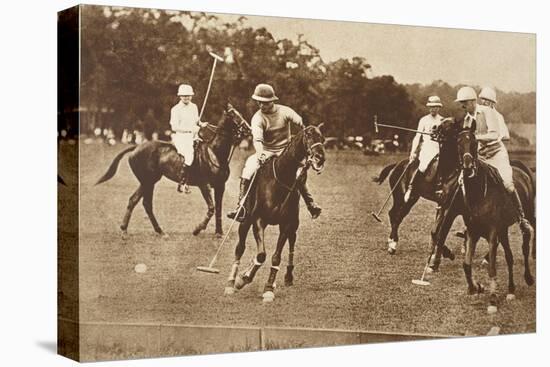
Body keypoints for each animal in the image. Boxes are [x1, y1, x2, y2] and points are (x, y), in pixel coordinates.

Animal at [95, 104, 250, 239]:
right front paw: (197, 229)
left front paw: (219, 233)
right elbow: (211, 208)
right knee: (144, 202)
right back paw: (139, 231)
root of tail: (136, 147)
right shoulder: (204, 185)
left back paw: (141, 230)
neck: (215, 153)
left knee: (137, 201)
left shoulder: (220, 186)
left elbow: (218, 208)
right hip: (148, 181)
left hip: (148, 181)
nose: (249, 130)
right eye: (233, 115)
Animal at [225, 125, 328, 304]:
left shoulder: (286, 224)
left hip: (294, 224)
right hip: (245, 222)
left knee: (292, 243)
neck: (281, 177)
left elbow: (275, 257)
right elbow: (261, 255)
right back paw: (232, 282)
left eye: (322, 138)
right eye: (308, 136)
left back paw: (288, 276)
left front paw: (268, 288)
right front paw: (242, 279)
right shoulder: (258, 220)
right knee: (240, 248)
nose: (320, 158)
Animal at [454, 126, 536, 314]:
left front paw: (492, 300)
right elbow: (466, 264)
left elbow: (492, 267)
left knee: (525, 245)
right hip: (503, 230)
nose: (467, 166)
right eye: (458, 142)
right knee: (509, 257)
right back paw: (511, 291)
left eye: (474, 142)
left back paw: (528, 277)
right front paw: (475, 287)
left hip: (526, 217)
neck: (479, 194)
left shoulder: (492, 233)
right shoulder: (473, 232)